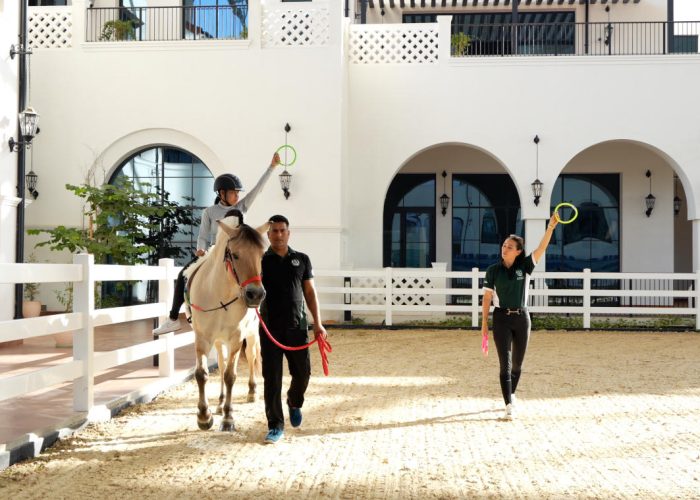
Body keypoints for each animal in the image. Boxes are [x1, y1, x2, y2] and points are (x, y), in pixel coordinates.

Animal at [183, 213, 268, 432]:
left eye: (261, 256)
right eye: (235, 255)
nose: (255, 295)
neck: (221, 296)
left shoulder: (236, 338)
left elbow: (231, 375)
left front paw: (228, 418)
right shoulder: (203, 338)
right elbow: (202, 374)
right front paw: (204, 416)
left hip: (251, 334)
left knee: (252, 356)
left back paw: (252, 392)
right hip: (219, 341)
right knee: (221, 366)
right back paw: (220, 403)